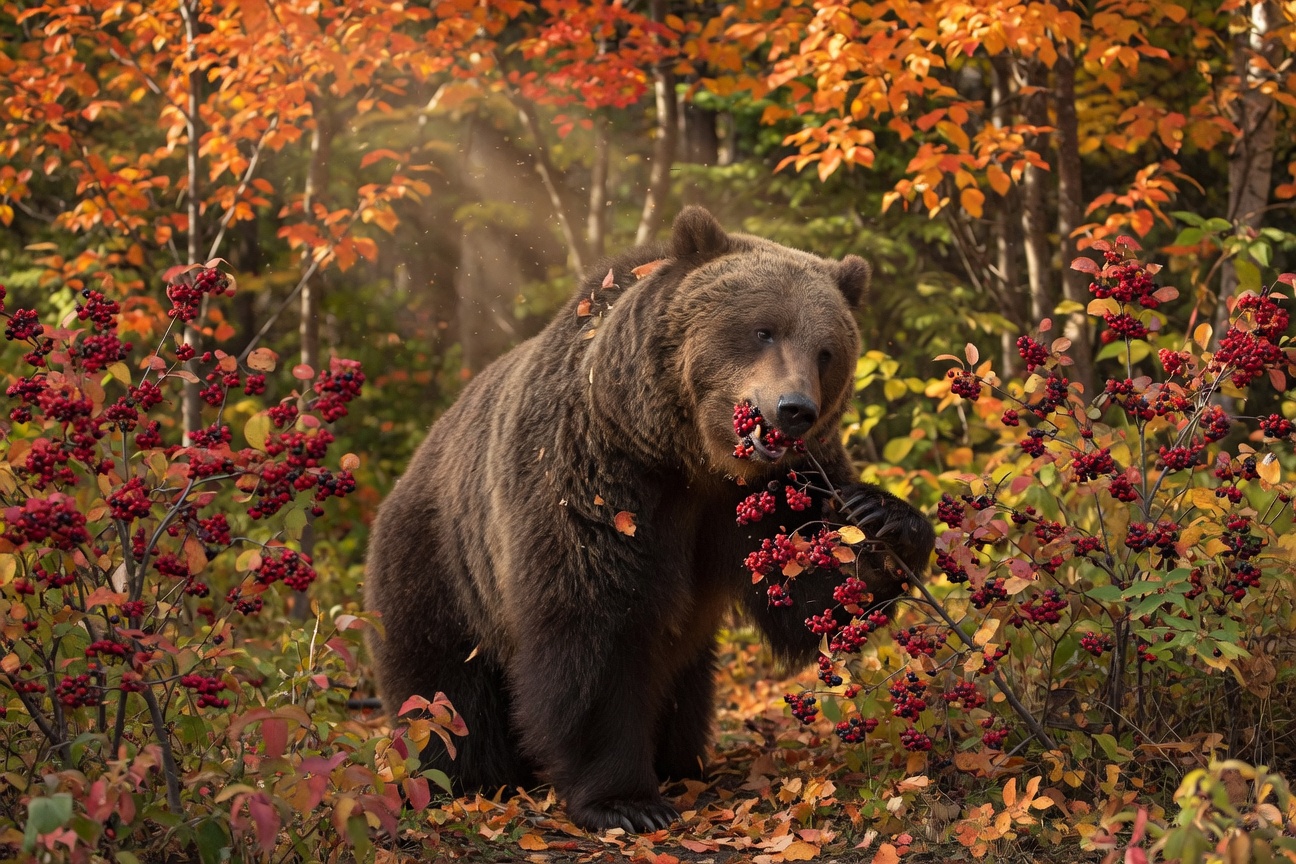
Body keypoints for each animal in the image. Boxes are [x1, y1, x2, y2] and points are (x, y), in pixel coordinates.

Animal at [364, 207, 934, 833]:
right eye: (764, 330)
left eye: (827, 350)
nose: (794, 409)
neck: (690, 459)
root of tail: (413, 464)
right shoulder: (597, 478)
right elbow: (597, 629)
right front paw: (627, 802)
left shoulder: (776, 491)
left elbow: (807, 591)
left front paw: (884, 526)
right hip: (441, 565)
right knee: (446, 692)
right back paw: (466, 777)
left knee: (686, 686)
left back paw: (679, 760)